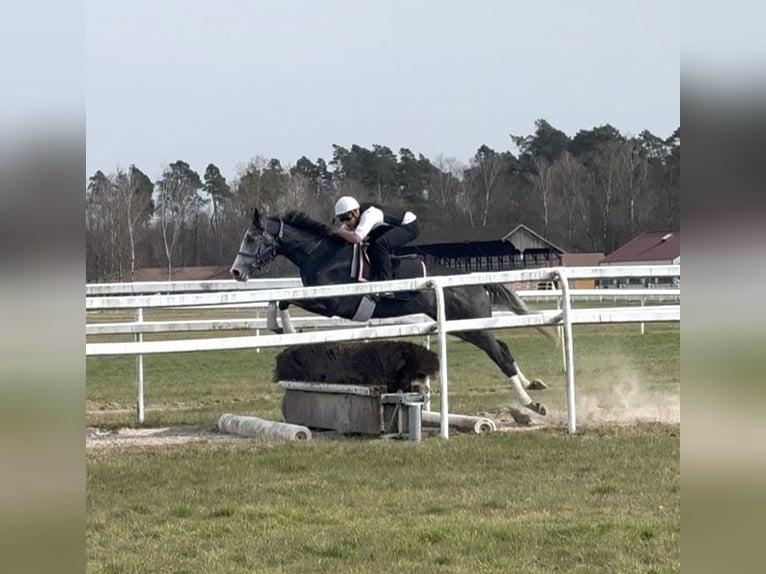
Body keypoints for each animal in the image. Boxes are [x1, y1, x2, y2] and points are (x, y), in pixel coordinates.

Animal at [229, 209, 553, 415]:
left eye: (251, 239)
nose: (235, 272)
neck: (320, 253)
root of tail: (474, 282)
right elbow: (279, 298)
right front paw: (277, 326)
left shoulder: (335, 303)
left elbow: (285, 300)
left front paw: (288, 329)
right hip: (463, 326)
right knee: (502, 347)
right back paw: (531, 385)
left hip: (469, 323)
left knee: (498, 353)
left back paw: (530, 402)